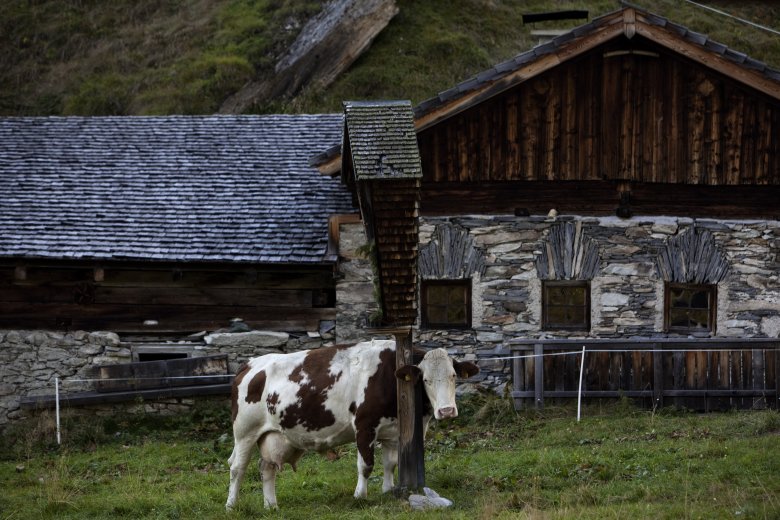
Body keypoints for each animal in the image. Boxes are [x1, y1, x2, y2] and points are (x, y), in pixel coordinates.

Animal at [225, 340, 478, 510]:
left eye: (454, 375)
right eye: (425, 380)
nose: (446, 411)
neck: (390, 377)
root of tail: (250, 364)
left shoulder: (392, 431)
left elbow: (390, 464)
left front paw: (387, 490)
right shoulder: (365, 426)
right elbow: (366, 465)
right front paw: (360, 496)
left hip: (273, 436)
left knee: (266, 468)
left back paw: (271, 506)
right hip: (245, 432)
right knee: (237, 468)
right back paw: (231, 505)